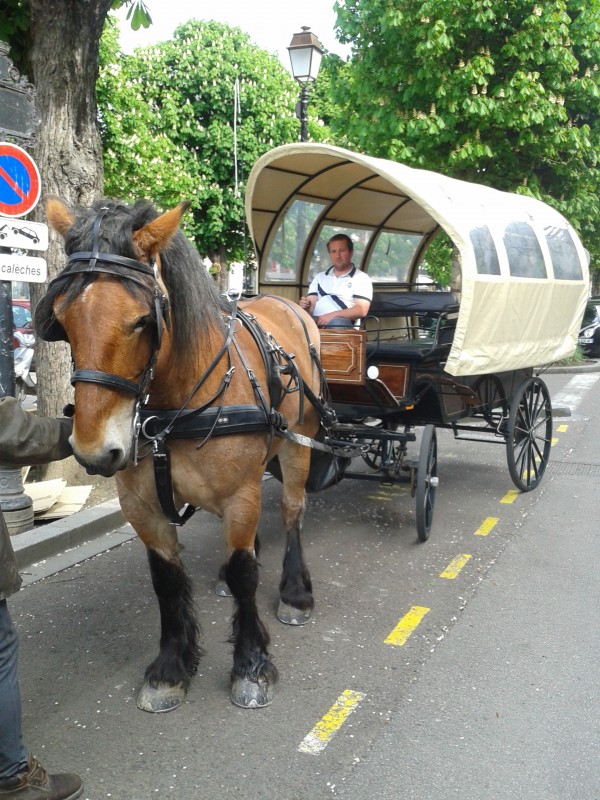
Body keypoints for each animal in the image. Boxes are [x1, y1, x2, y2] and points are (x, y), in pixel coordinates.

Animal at [36, 196, 324, 712]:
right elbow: (166, 580)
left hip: (298, 444)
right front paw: (171, 666)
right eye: (63, 323)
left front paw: (251, 663)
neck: (174, 407)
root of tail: (286, 303)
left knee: (293, 510)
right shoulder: (141, 507)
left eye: (142, 321)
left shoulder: (242, 495)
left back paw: (294, 591)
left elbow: (246, 576)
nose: (94, 451)